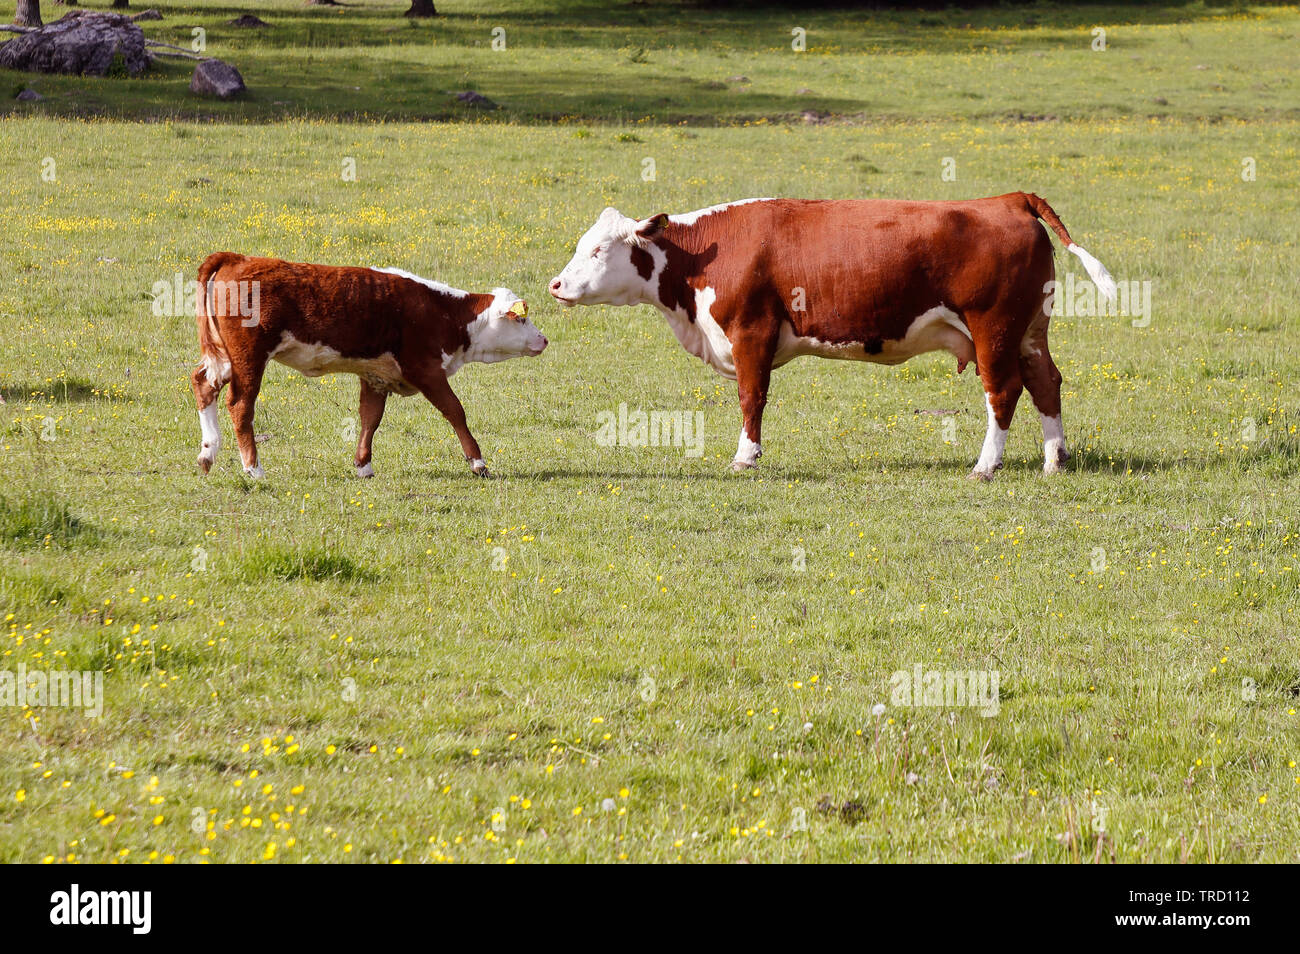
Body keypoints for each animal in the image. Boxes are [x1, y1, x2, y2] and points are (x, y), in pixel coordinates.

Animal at [190, 253, 547, 479]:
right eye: (522, 319)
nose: (543, 340)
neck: (442, 312)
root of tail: (237, 258)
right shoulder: (425, 370)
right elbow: (454, 410)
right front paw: (477, 462)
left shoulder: (376, 376)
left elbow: (370, 418)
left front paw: (363, 466)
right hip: (249, 357)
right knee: (240, 405)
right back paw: (253, 469)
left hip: (225, 357)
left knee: (203, 384)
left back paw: (208, 454)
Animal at [549, 194, 1115, 479]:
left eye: (598, 250)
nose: (555, 284)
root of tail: (1008, 199)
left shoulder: (751, 331)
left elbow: (751, 397)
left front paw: (745, 457)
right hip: (1029, 330)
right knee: (1046, 382)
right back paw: (1054, 459)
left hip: (993, 327)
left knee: (1004, 390)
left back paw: (985, 465)